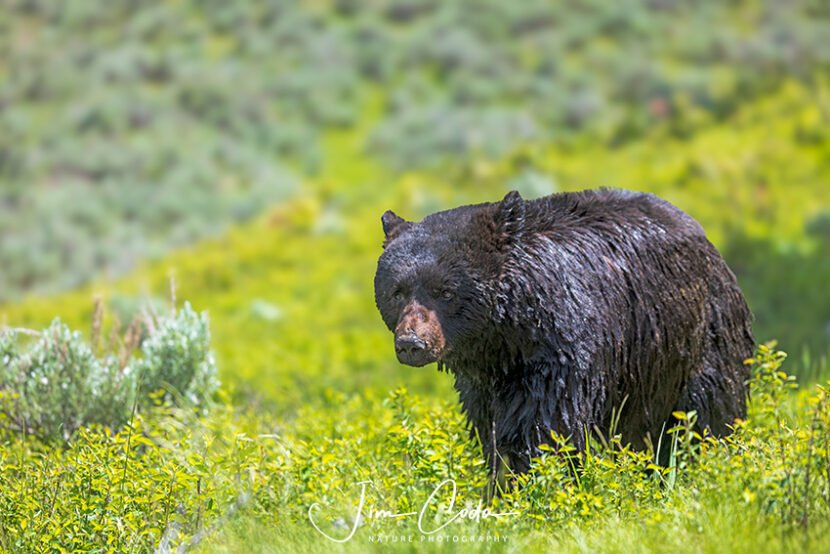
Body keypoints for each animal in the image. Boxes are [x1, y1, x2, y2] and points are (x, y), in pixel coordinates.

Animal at [373, 188, 754, 482]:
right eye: (397, 291)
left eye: (446, 291)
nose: (412, 343)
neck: (503, 337)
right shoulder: (483, 378)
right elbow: (490, 426)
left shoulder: (558, 350)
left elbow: (544, 421)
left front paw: (534, 480)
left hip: (695, 336)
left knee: (705, 409)